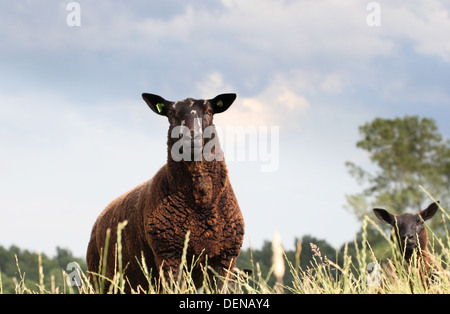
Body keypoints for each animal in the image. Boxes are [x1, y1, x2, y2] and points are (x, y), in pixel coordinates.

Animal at [85, 92, 244, 292]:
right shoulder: (169, 255)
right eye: (170, 114)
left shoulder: (224, 259)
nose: (191, 139)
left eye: (209, 111)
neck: (200, 204)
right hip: (100, 279)